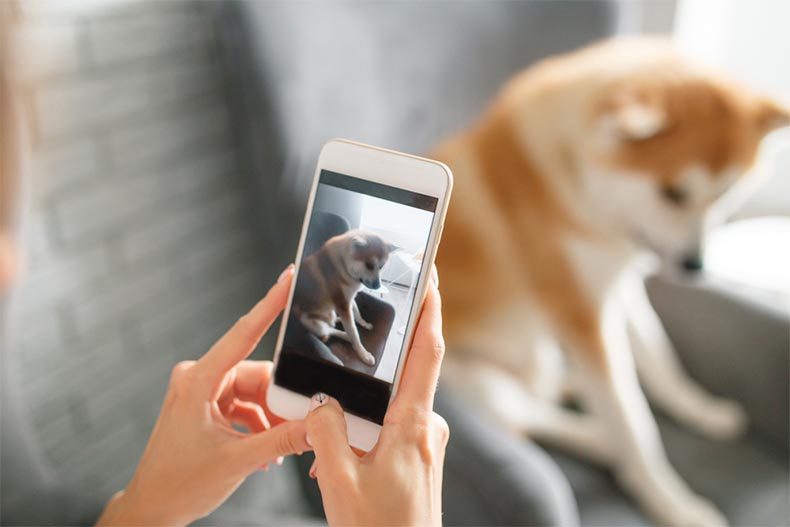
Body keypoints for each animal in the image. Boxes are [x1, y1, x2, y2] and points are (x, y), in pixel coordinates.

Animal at [294, 229, 400, 370]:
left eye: (381, 267)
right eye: (369, 265)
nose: (378, 286)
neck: (342, 265)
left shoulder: (349, 299)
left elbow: (357, 313)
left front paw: (364, 323)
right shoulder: (343, 304)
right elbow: (354, 333)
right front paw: (363, 354)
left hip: (330, 313)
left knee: (333, 324)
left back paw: (338, 321)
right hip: (313, 323)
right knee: (331, 331)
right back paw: (346, 335)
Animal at [436, 38, 788, 527]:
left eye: (726, 193)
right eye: (674, 192)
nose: (694, 266)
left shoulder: (618, 288)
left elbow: (661, 358)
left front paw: (698, 407)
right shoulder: (583, 312)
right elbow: (633, 421)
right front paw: (671, 502)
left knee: (544, 393)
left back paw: (572, 387)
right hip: (476, 382)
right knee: (528, 419)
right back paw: (602, 442)